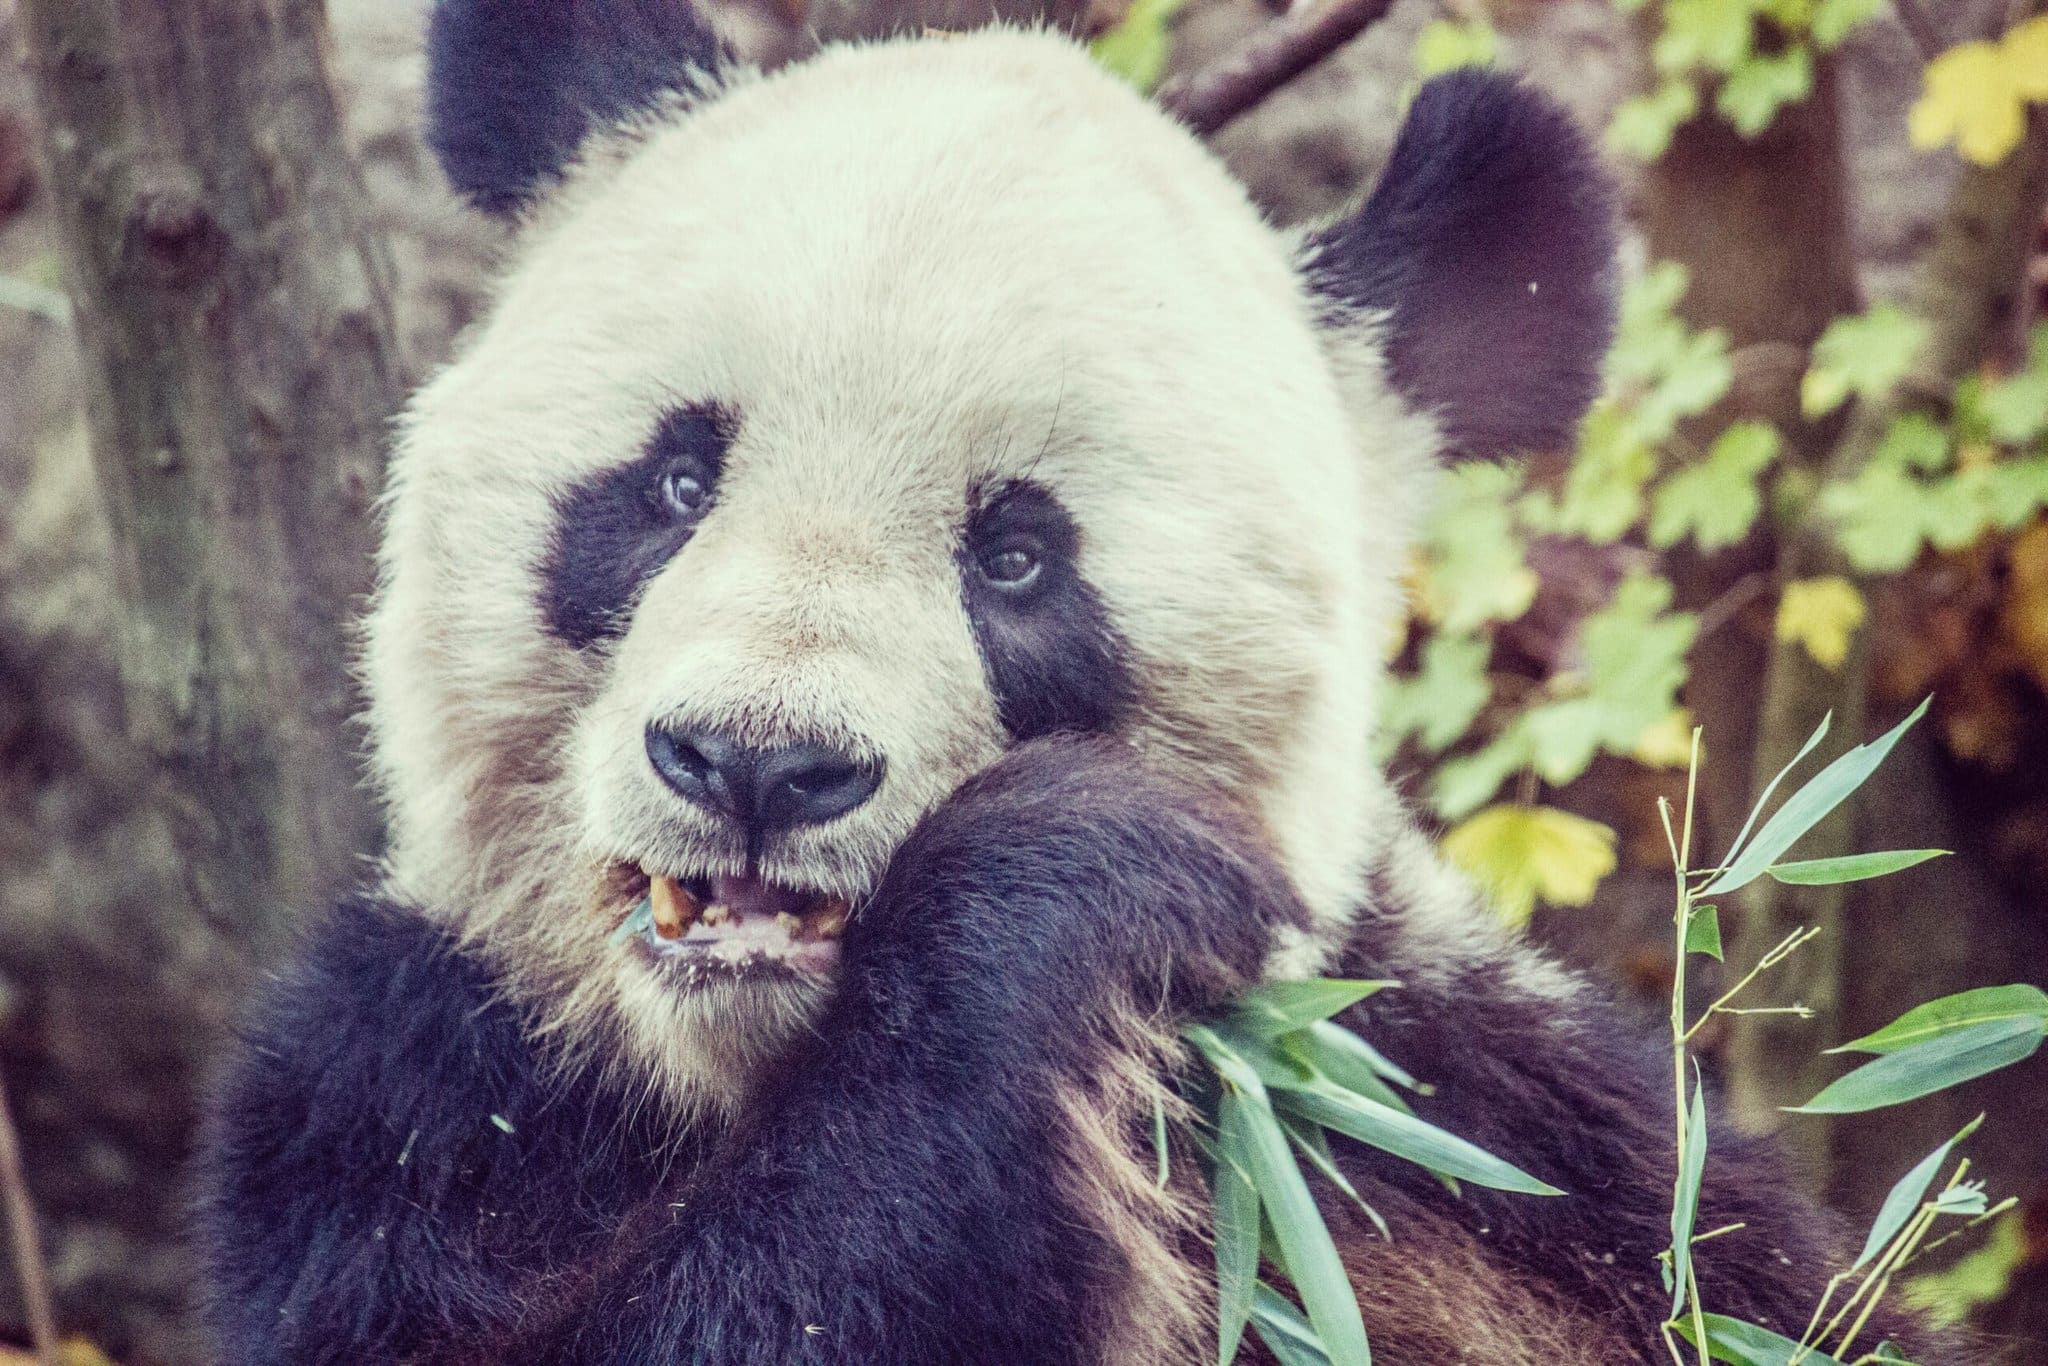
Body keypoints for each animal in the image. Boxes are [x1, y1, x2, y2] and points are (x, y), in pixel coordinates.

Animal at [192, 2, 1949, 1366]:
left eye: (1020, 557)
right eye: (675, 482)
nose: (756, 763)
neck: (725, 1077)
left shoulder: (1509, 1136)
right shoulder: (402, 1098)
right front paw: (1067, 871)